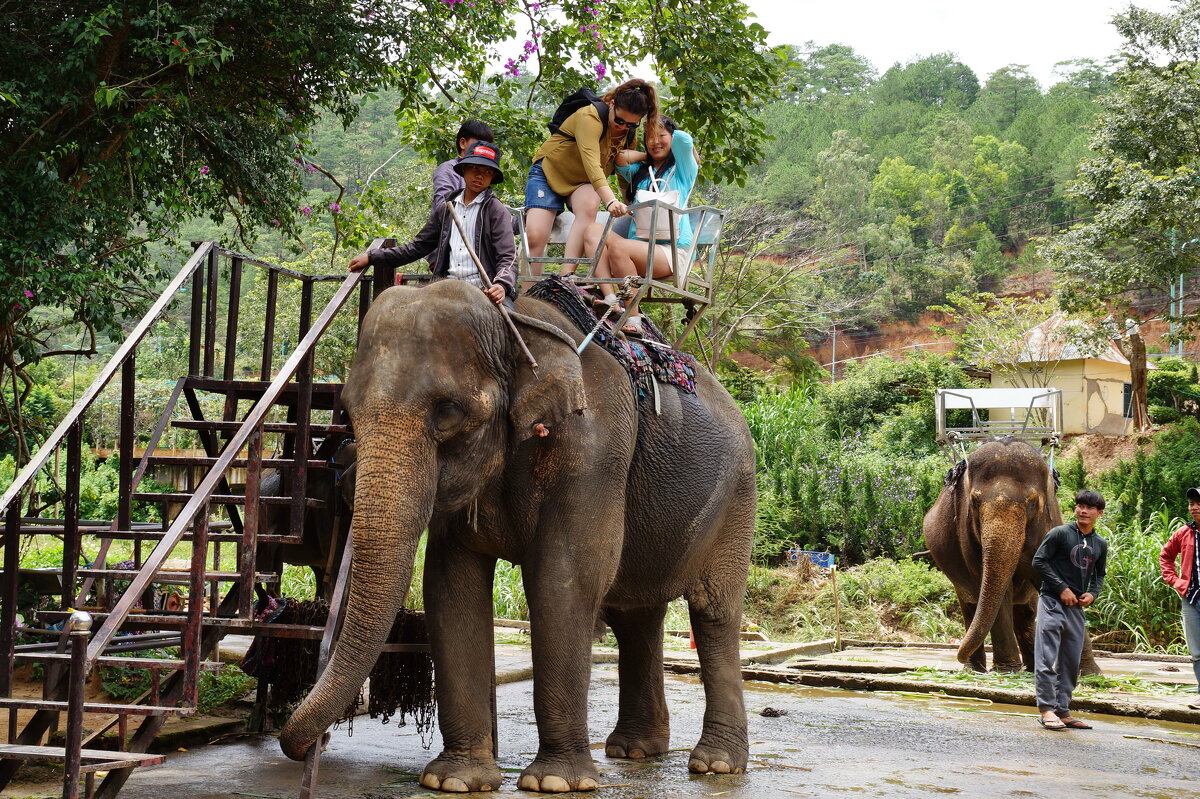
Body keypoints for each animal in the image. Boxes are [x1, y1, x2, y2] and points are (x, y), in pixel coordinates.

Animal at [276, 279, 753, 791]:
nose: (312, 746)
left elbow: (563, 581)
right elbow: (450, 585)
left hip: (738, 499)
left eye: (447, 411)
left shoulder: (593, 446)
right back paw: (635, 751)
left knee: (714, 613)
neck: (513, 325)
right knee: (635, 614)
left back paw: (715, 765)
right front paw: (455, 781)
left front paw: (555, 783)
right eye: (346, 410)